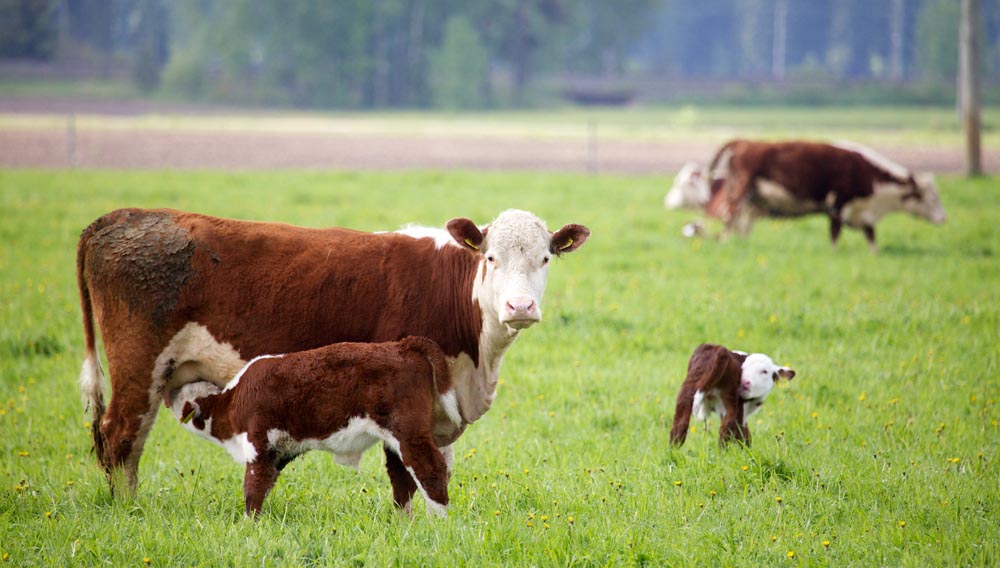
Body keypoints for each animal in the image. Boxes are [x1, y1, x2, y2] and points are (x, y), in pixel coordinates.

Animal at [77, 208, 590, 498]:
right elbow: (404, 476)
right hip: (138, 366)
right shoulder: (399, 399)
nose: (520, 307)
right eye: (490, 258)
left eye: (545, 258)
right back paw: (127, 510)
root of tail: (117, 218)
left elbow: (437, 470)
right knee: (120, 437)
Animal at [165, 336, 455, 517]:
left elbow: (253, 486)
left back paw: (438, 520)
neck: (232, 401)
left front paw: (249, 524)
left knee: (430, 469)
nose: (168, 393)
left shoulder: (258, 440)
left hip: (407, 431)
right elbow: (265, 482)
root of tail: (403, 345)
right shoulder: (278, 451)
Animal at [699, 139, 946, 251]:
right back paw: (725, 244)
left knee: (740, 225)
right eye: (932, 197)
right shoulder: (838, 203)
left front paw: (875, 254)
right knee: (730, 220)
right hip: (739, 194)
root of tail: (743, 142)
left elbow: (871, 235)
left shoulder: (861, 212)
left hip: (750, 198)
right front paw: (834, 253)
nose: (944, 218)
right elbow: (835, 233)